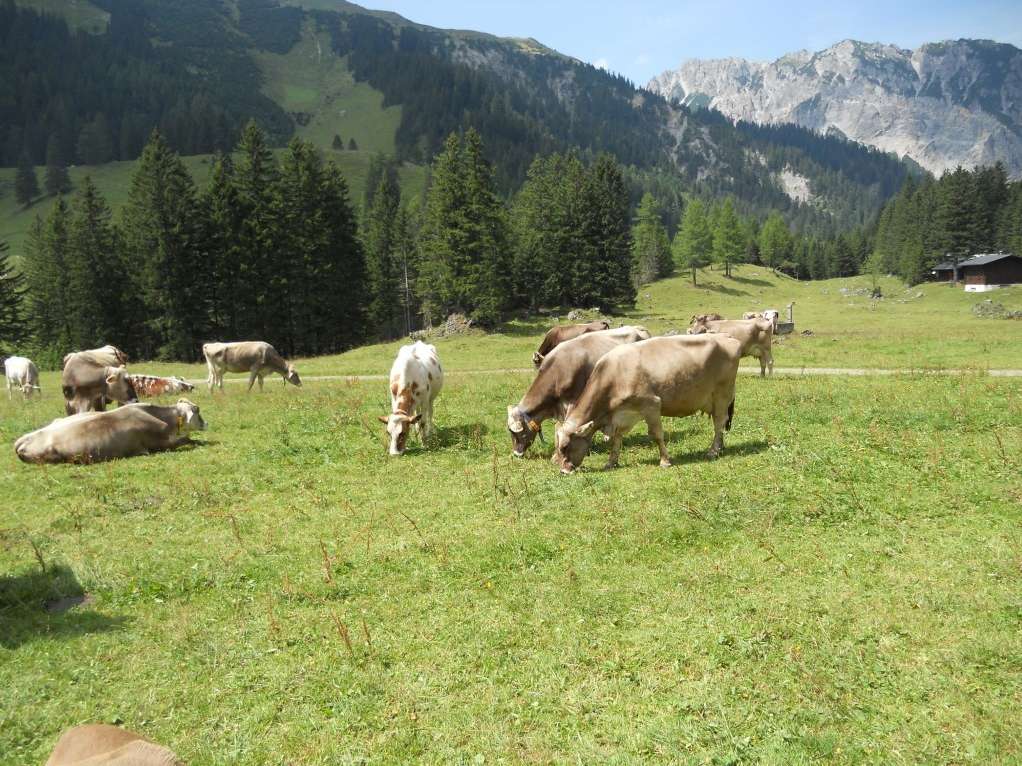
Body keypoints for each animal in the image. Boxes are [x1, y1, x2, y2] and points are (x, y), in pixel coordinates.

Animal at [554, 334, 742, 474]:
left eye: (566, 446)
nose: (563, 471)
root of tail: (727, 337)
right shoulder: (623, 415)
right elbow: (616, 439)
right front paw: (611, 462)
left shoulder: (651, 404)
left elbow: (657, 434)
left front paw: (665, 461)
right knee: (721, 423)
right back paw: (720, 447)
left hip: (722, 394)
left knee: (719, 422)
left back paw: (713, 450)